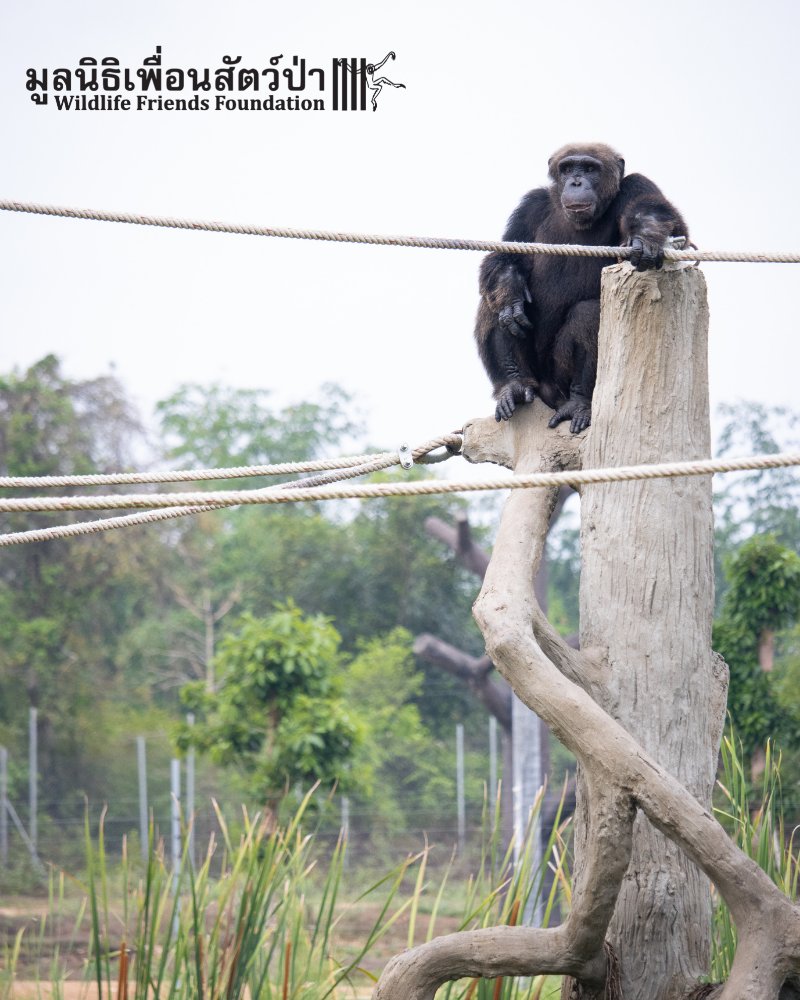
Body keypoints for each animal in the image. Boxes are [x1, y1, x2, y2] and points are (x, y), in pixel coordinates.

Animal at [474, 143, 688, 432]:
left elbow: (668, 226)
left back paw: (578, 401)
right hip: (538, 383)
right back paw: (513, 383)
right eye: (567, 168)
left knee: (588, 314)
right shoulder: (531, 205)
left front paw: (646, 235)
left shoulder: (639, 185)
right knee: (493, 304)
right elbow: (507, 253)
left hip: (559, 383)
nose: (576, 181)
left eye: (589, 168)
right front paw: (509, 287)